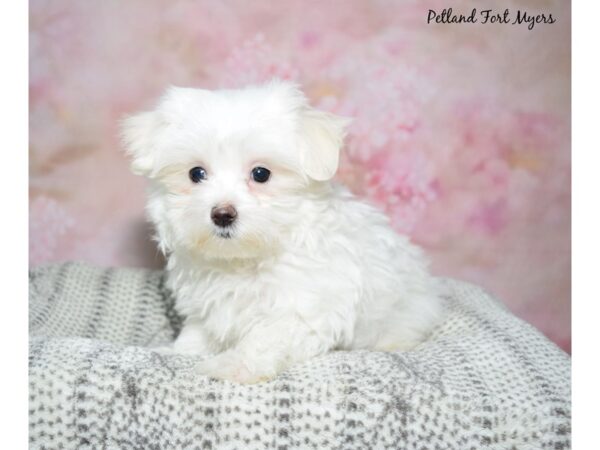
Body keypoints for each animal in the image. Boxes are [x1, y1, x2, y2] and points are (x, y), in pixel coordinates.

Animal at [120, 80, 440, 384]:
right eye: (196, 173)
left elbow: (264, 339)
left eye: (261, 174)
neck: (243, 260)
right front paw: (179, 351)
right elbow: (198, 331)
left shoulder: (299, 310)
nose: (222, 214)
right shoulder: (208, 303)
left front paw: (233, 366)